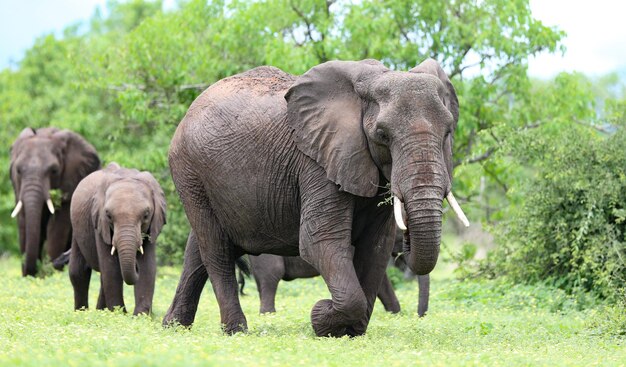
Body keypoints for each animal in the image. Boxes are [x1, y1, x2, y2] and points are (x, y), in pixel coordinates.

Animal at [9, 128, 100, 278]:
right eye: (18, 170)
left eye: (54, 171)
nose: (39, 271)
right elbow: (23, 224)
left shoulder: (70, 183)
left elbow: (57, 227)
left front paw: (51, 275)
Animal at [68, 164, 166, 316]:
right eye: (108, 215)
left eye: (146, 215)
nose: (135, 266)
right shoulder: (99, 222)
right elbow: (111, 267)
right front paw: (119, 314)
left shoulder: (152, 226)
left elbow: (148, 265)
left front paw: (140, 316)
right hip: (76, 228)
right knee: (78, 271)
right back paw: (82, 313)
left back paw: (101, 312)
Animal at [163, 59, 466, 338]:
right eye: (382, 134)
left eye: (448, 131)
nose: (408, 239)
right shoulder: (317, 161)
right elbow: (319, 241)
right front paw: (322, 316)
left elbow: (374, 248)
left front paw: (350, 331)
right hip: (189, 170)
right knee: (217, 250)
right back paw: (236, 330)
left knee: (199, 248)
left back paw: (174, 326)